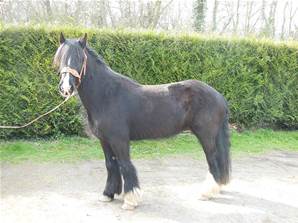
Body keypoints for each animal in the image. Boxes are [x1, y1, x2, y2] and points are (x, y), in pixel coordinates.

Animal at [53, 32, 230, 209]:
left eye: (80, 58)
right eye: (60, 57)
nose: (66, 87)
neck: (106, 95)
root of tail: (218, 96)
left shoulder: (119, 140)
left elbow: (125, 165)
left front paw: (130, 200)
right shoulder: (104, 140)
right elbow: (110, 164)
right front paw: (108, 194)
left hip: (206, 136)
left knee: (212, 160)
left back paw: (206, 193)